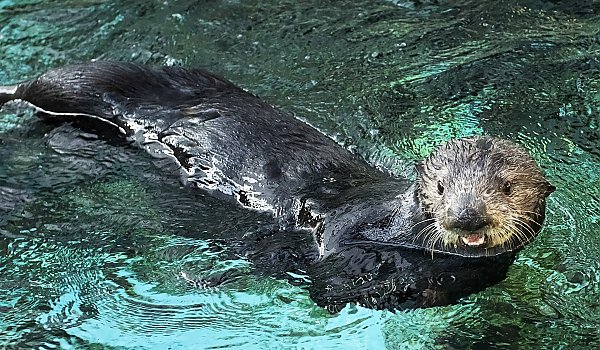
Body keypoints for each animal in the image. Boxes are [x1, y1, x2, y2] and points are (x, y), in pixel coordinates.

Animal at [0, 62, 556, 308]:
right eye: (440, 187)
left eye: (506, 188)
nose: (467, 215)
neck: (397, 232)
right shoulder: (351, 222)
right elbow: (328, 247)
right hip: (94, 80)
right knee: (42, 85)